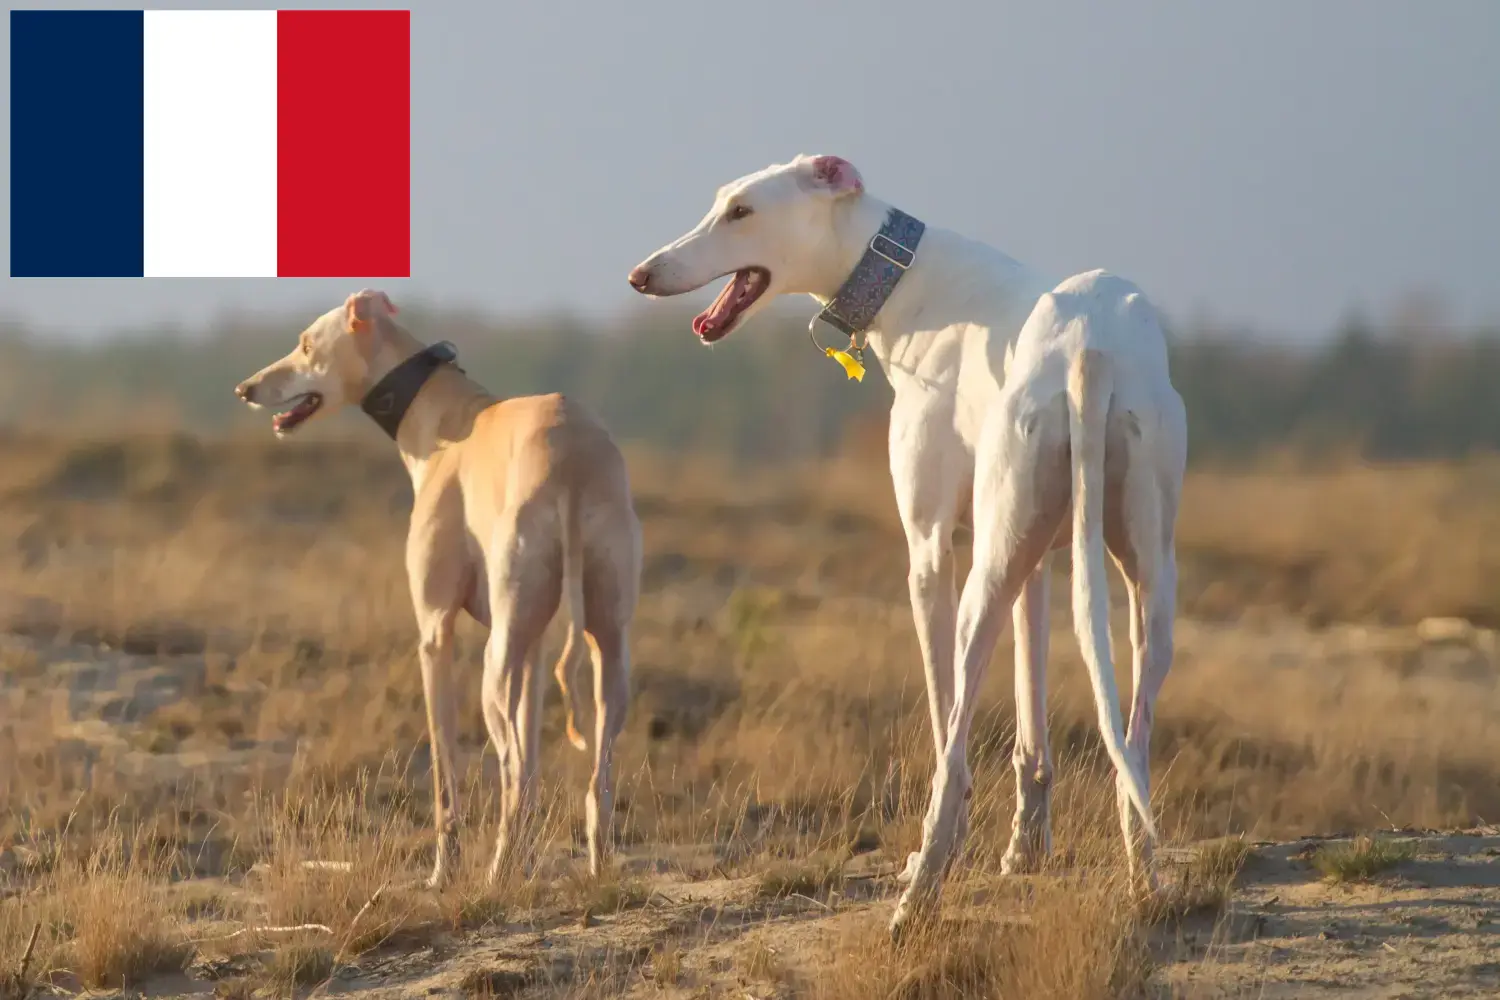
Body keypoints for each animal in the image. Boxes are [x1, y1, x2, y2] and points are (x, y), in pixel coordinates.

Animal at [232, 287, 639, 881]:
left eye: (306, 344)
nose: (245, 389)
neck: (445, 419)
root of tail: (570, 461)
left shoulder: (434, 632)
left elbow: (447, 772)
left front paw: (444, 871)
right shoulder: (535, 647)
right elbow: (533, 767)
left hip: (494, 667)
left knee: (509, 764)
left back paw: (494, 873)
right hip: (605, 645)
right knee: (591, 774)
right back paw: (594, 869)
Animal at [627, 152, 1188, 935]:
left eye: (741, 211)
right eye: (722, 203)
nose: (641, 275)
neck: (911, 278)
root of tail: (1091, 349)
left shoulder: (929, 549)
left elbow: (946, 714)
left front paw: (960, 849)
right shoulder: (1039, 556)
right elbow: (1033, 721)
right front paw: (1025, 849)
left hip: (983, 582)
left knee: (952, 744)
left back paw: (918, 889)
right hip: (1140, 571)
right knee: (1132, 737)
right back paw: (1145, 878)